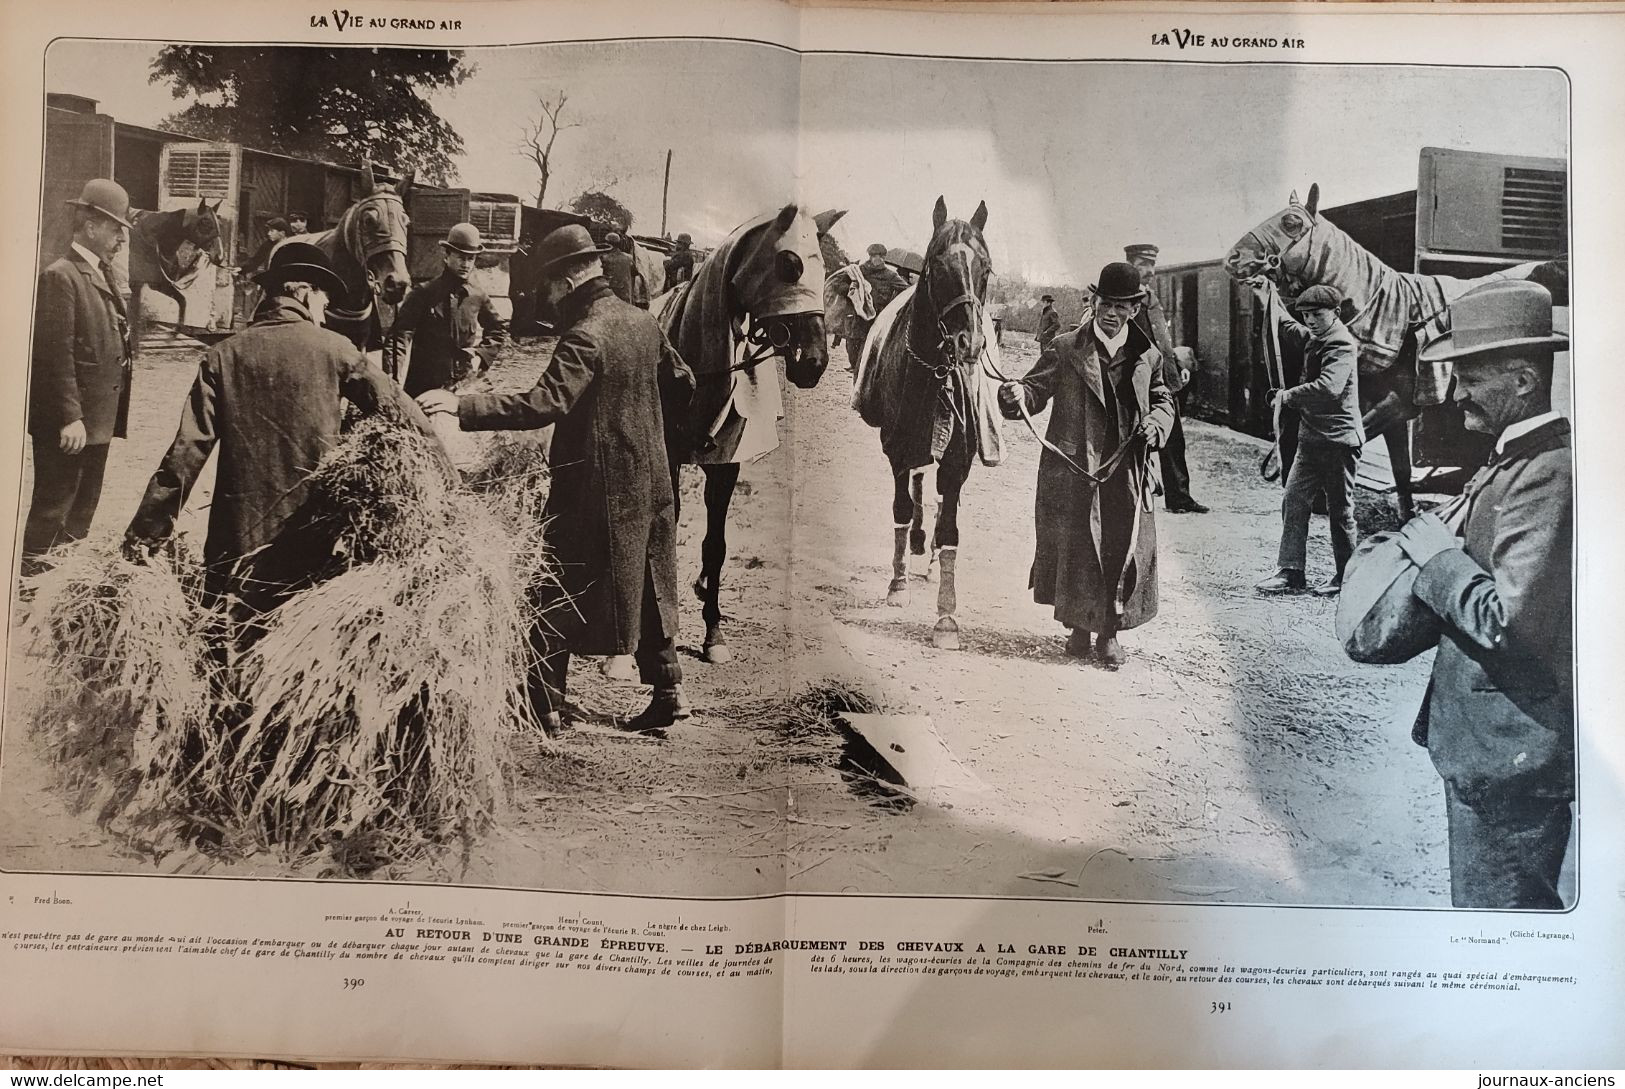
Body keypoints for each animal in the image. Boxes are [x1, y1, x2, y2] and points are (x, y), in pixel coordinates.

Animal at [126, 196, 225, 357]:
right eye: (205, 223)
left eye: (218, 224)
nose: (219, 257)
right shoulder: (134, 283)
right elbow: (132, 314)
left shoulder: (159, 284)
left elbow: (182, 302)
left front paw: (174, 334)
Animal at [653, 202, 845, 666]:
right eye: (789, 264)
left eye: (824, 269)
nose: (814, 362)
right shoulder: (668, 454)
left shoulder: (727, 464)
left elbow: (717, 545)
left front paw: (713, 633)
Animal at [851, 196, 1001, 653]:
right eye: (937, 263)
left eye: (986, 267)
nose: (969, 342)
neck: (932, 370)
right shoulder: (897, 448)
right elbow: (901, 507)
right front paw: (898, 583)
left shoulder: (956, 460)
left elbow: (950, 526)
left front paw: (946, 617)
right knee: (918, 483)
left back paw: (929, 551)